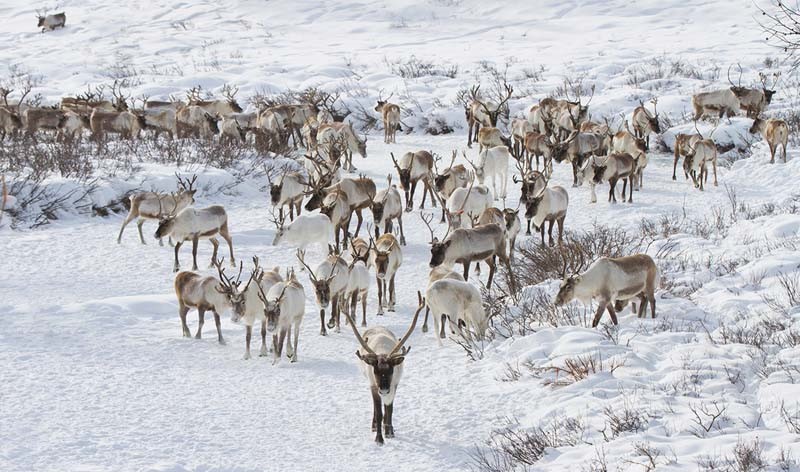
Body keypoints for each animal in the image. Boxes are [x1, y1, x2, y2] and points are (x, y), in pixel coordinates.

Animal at [344, 293, 423, 445]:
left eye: (391, 370)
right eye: (375, 371)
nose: (384, 390)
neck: (382, 352)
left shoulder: (394, 384)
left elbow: (389, 410)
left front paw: (389, 432)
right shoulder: (374, 385)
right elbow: (379, 412)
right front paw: (379, 438)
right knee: (376, 408)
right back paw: (374, 425)